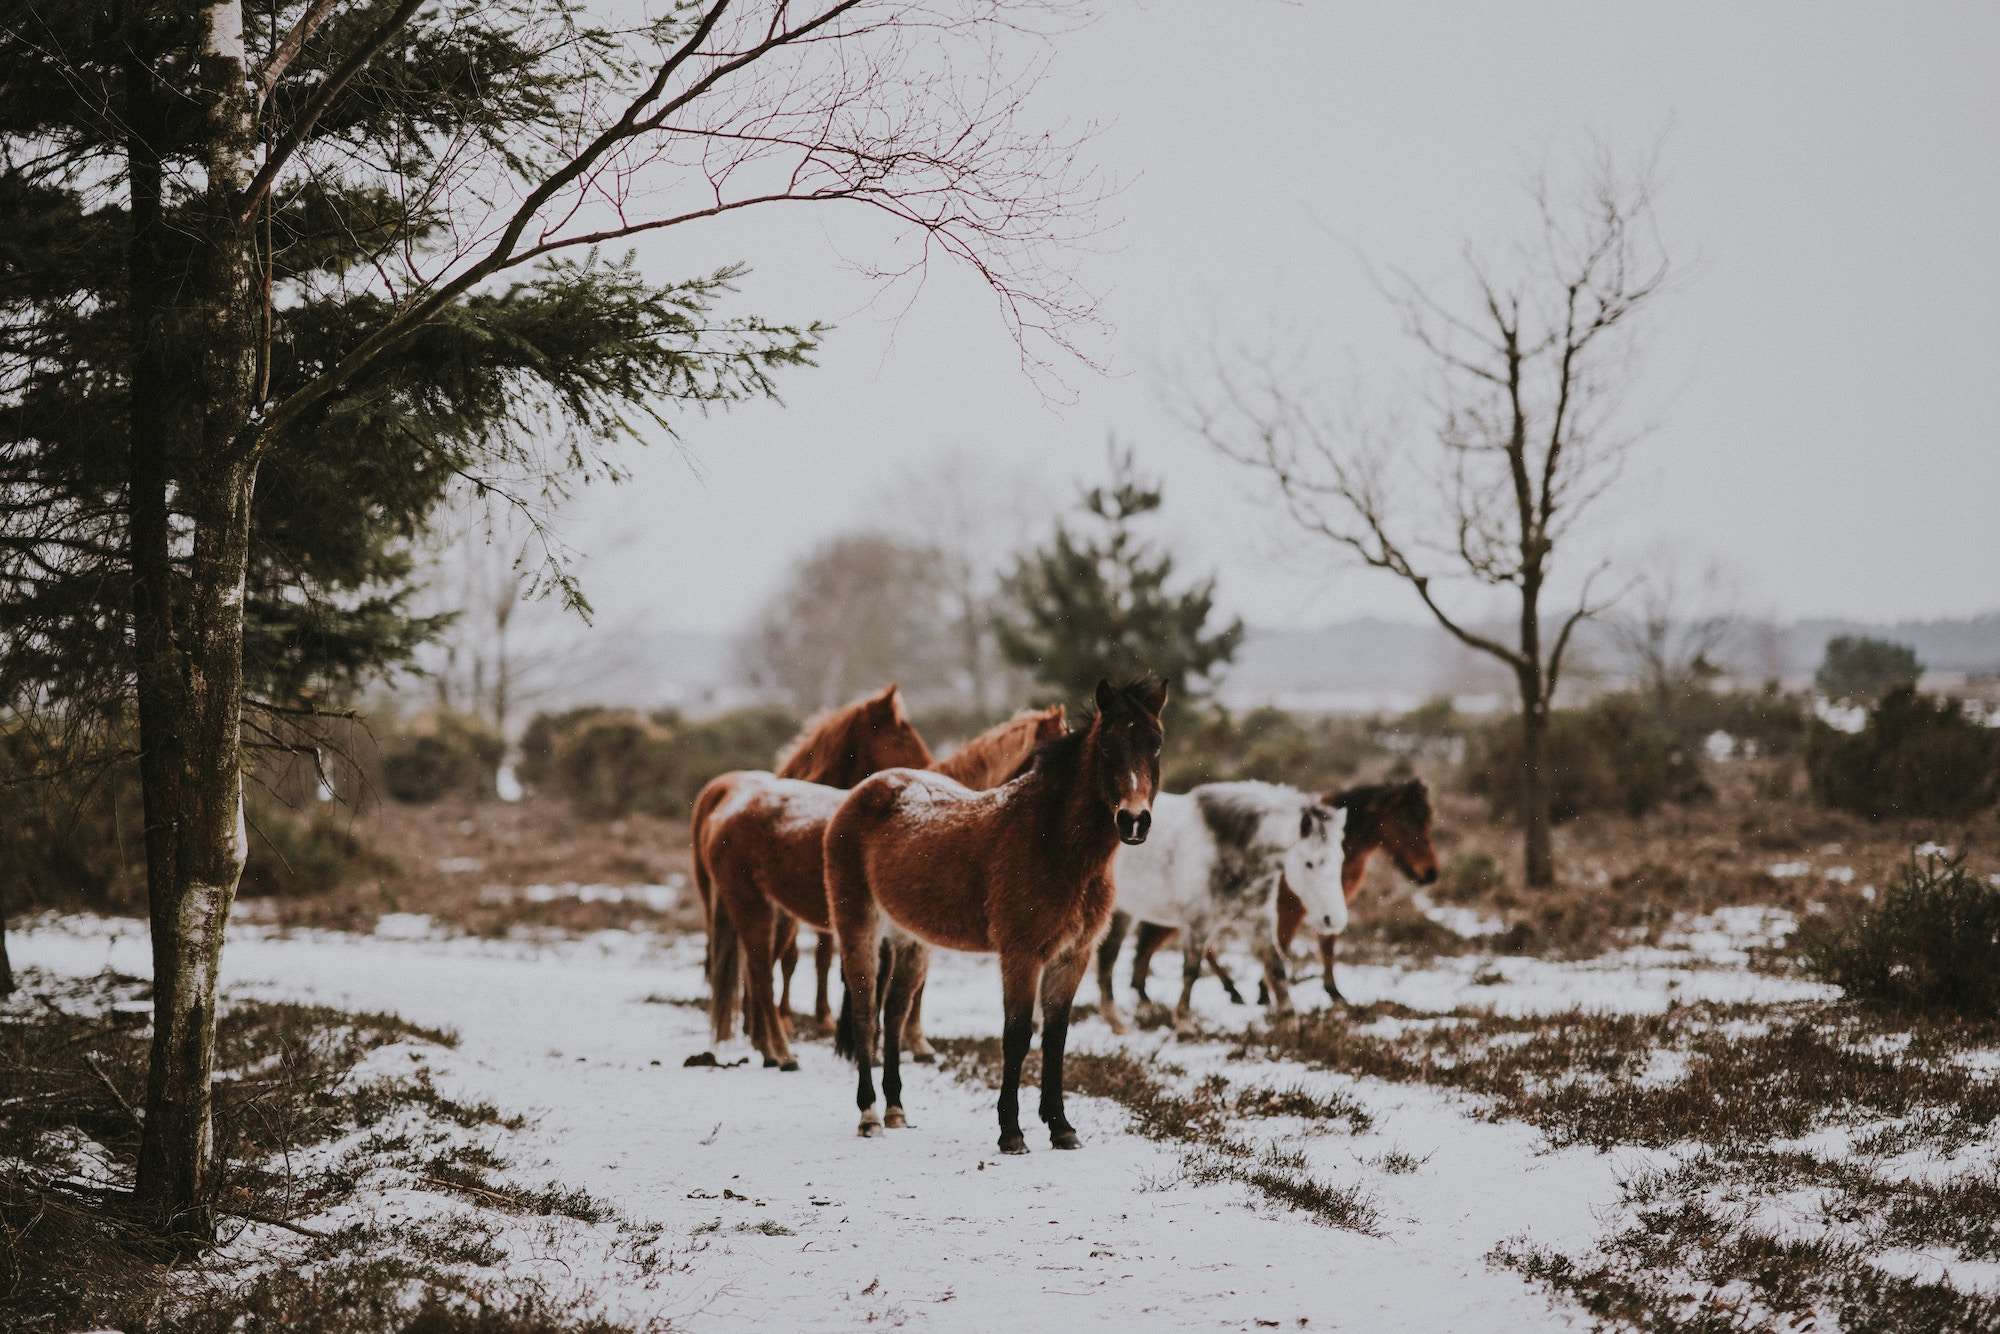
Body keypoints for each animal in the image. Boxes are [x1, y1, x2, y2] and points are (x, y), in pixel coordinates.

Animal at [692, 684, 932, 1072]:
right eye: (899, 734)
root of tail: (724, 813)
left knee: (757, 975)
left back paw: (768, 1048)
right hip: (753, 908)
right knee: (760, 975)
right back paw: (781, 1052)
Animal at [824, 680, 1168, 1160]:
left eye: (1155, 744)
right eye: (1106, 746)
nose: (1134, 821)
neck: (1054, 844)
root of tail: (862, 792)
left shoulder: (1072, 957)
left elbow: (1055, 1038)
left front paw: (1062, 1128)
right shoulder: (1021, 954)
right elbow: (1017, 1035)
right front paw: (1011, 1133)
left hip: (910, 939)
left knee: (893, 1013)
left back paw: (895, 1108)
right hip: (858, 926)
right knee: (863, 1012)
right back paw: (869, 1115)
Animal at [1128, 776, 1440, 1008]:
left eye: (1427, 822)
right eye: (1408, 822)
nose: (1430, 873)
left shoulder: (1326, 909)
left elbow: (1325, 946)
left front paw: (1333, 993)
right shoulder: (1290, 910)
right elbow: (1287, 945)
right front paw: (1267, 993)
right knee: (1155, 945)